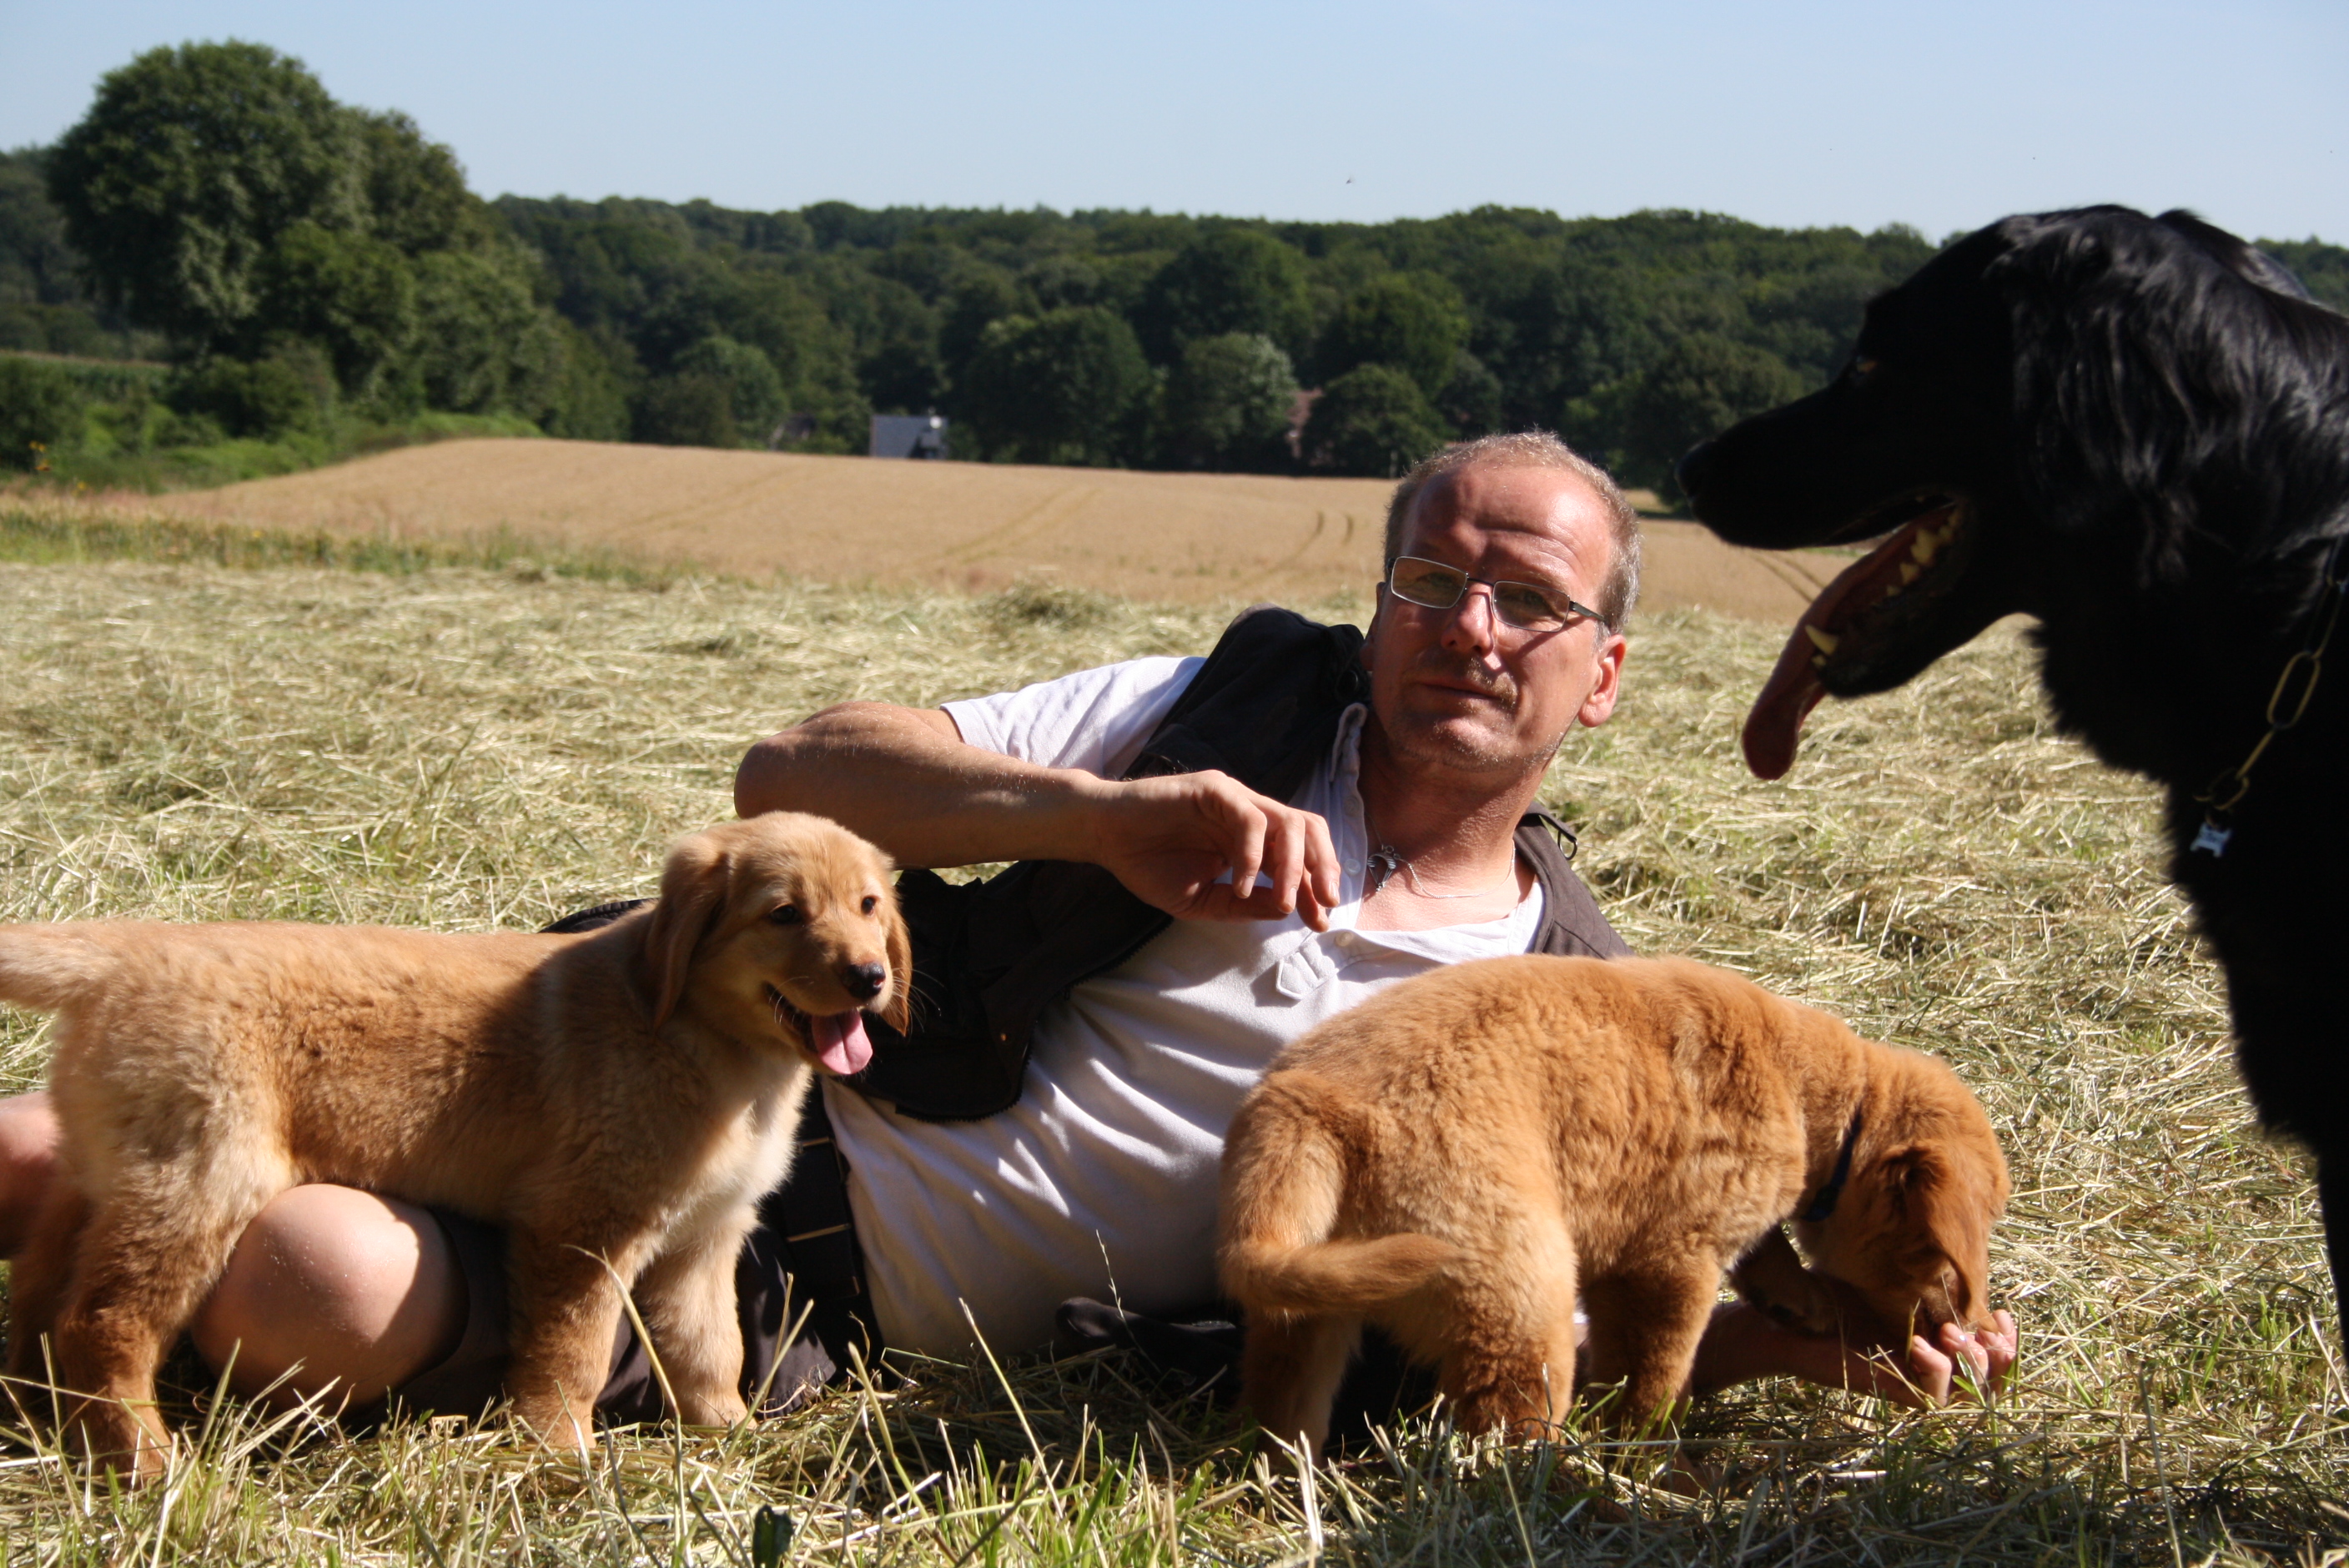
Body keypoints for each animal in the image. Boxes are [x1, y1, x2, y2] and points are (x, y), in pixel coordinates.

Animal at [0, 811, 909, 1481]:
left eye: (869, 906)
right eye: (784, 913)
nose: (870, 977)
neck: (702, 1036)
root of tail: (130, 953)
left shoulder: (704, 1239)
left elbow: (708, 1346)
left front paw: (727, 1431)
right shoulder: (579, 1229)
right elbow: (570, 1354)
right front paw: (561, 1451)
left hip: (107, 1174)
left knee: (41, 1298)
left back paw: (32, 1419)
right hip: (202, 1181)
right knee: (102, 1322)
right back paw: (147, 1463)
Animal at [1217, 954, 2007, 1458]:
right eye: (1944, 1254)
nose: (1970, 1331)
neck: (1814, 1099)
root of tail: (1313, 1104)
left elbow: (1767, 1252)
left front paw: (1803, 1301)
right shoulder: (1665, 1265)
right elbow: (1653, 1380)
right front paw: (1651, 1463)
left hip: (1303, 1301)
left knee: (1282, 1411)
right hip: (1522, 1294)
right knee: (1502, 1429)